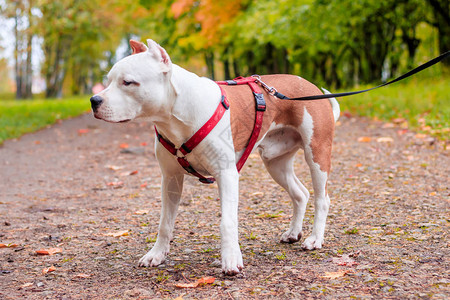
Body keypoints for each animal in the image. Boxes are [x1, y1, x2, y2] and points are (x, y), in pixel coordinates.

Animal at [89, 39, 340, 276]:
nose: (94, 100)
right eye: (108, 80)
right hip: (276, 163)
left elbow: (227, 222)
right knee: (300, 193)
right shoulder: (170, 179)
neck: (175, 117)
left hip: (317, 154)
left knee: (322, 198)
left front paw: (231, 260)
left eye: (128, 82)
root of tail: (309, 85)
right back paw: (293, 232)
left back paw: (315, 239)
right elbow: (165, 223)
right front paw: (157, 254)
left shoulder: (226, 174)